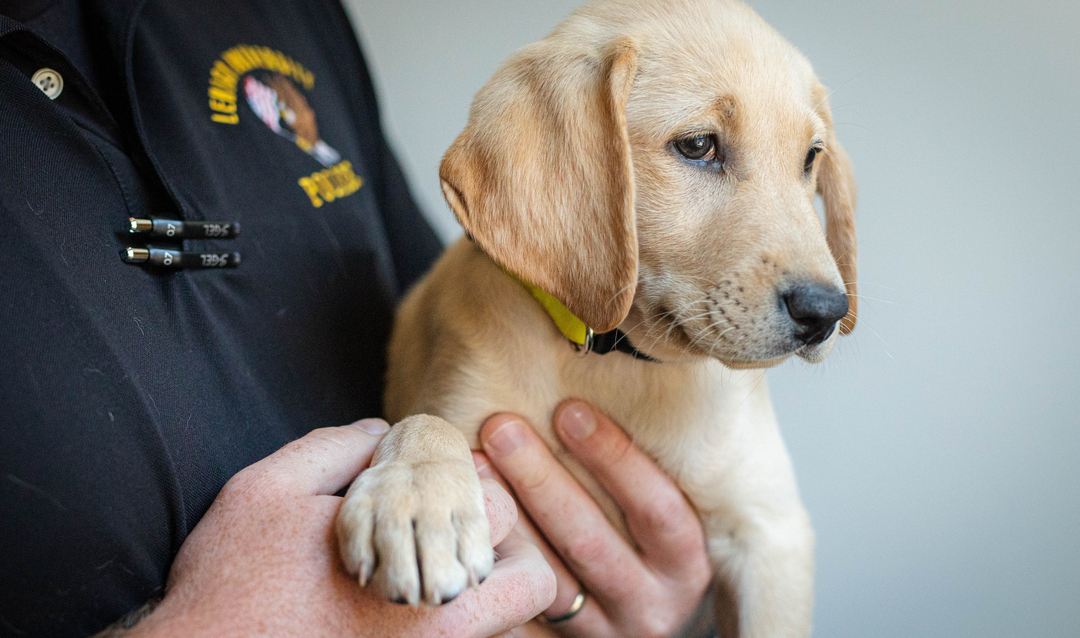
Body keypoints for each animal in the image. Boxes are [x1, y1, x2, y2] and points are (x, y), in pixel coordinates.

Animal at [332, 0, 855, 634]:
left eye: (811, 158)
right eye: (698, 145)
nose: (827, 311)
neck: (616, 361)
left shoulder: (771, 537)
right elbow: (421, 422)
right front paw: (415, 495)